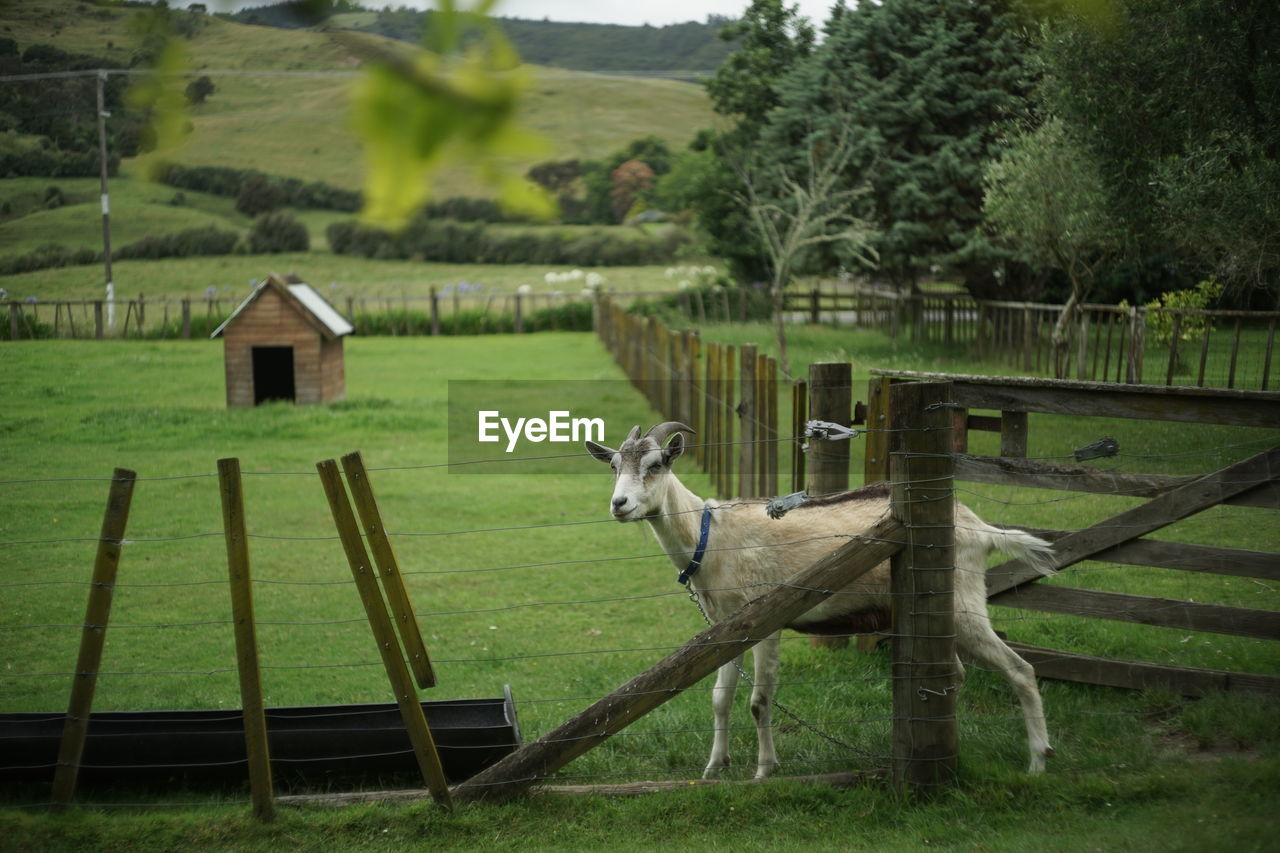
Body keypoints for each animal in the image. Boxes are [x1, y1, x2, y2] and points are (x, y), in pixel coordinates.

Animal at [586, 417, 1054, 778]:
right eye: (613, 465)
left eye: (656, 464)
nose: (619, 504)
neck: (712, 536)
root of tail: (981, 529)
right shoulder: (725, 627)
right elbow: (721, 698)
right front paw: (714, 768)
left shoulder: (764, 619)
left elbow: (759, 701)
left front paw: (765, 770)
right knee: (954, 672)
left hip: (963, 603)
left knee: (1020, 669)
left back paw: (1038, 761)